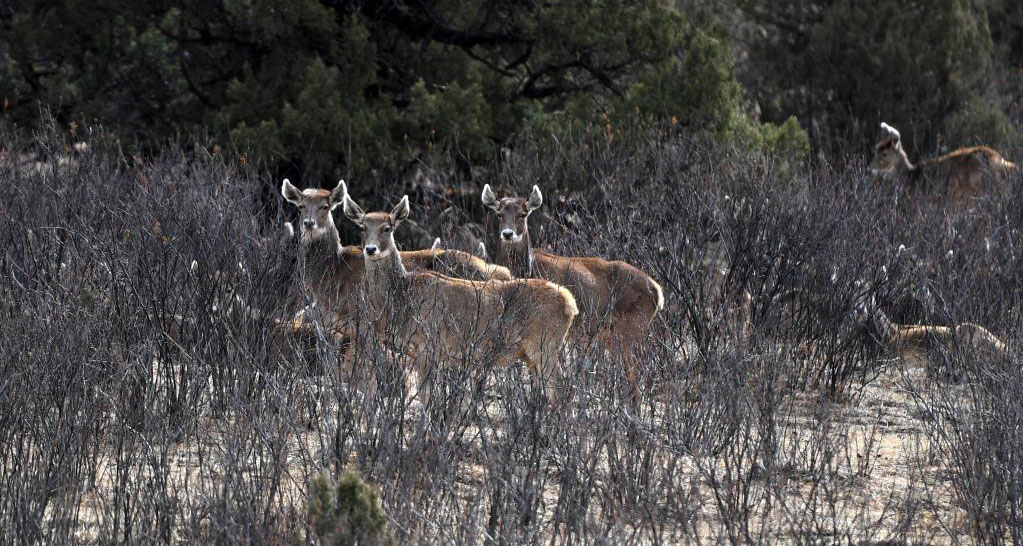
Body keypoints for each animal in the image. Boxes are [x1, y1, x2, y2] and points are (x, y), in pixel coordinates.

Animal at [343, 190, 581, 404]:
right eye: (362, 227)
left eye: (387, 228)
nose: (370, 249)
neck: (402, 296)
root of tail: (570, 303)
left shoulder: (426, 345)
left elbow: (426, 396)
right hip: (534, 354)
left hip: (545, 344)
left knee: (563, 390)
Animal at [482, 186, 666, 392]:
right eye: (499, 214)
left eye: (523, 214)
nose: (507, 233)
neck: (526, 269)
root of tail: (658, 291)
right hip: (611, 336)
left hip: (634, 327)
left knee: (639, 372)